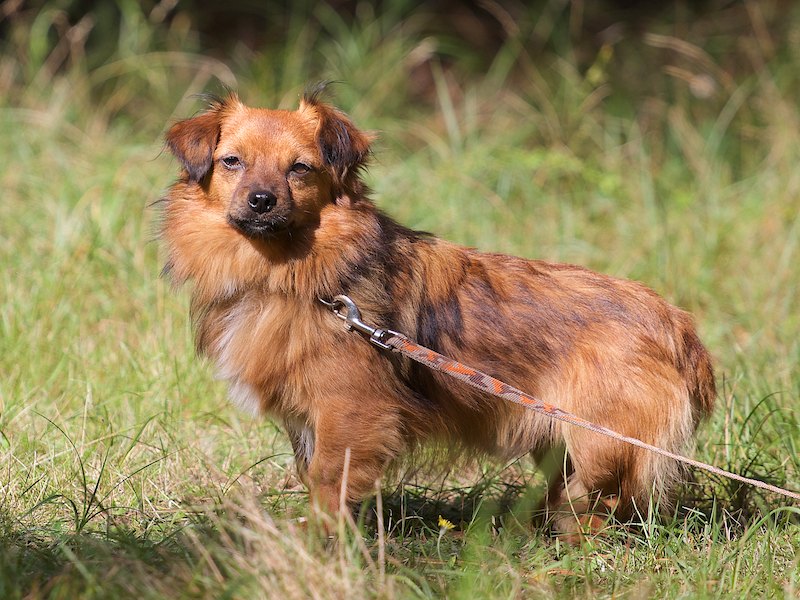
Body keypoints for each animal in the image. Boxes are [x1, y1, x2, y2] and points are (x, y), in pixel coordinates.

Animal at [160, 89, 715, 536]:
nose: (261, 200)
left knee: (601, 503)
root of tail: (675, 323)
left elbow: (326, 484)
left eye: (299, 168)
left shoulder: (350, 414)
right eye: (232, 161)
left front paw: (321, 547)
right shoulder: (310, 422)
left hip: (599, 443)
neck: (290, 273)